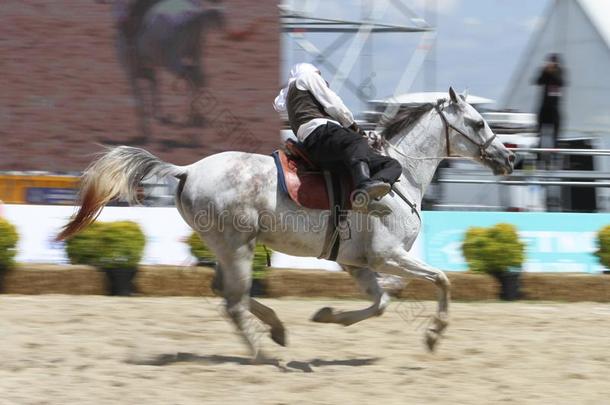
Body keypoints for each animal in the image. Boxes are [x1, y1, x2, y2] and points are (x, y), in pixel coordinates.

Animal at [57, 87, 512, 356]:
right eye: (477, 123)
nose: (508, 158)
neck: (402, 177)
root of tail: (187, 170)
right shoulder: (388, 256)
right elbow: (442, 281)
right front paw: (434, 334)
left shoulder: (358, 263)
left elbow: (381, 302)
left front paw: (329, 315)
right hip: (238, 248)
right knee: (233, 301)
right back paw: (266, 354)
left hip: (228, 249)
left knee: (227, 292)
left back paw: (276, 331)